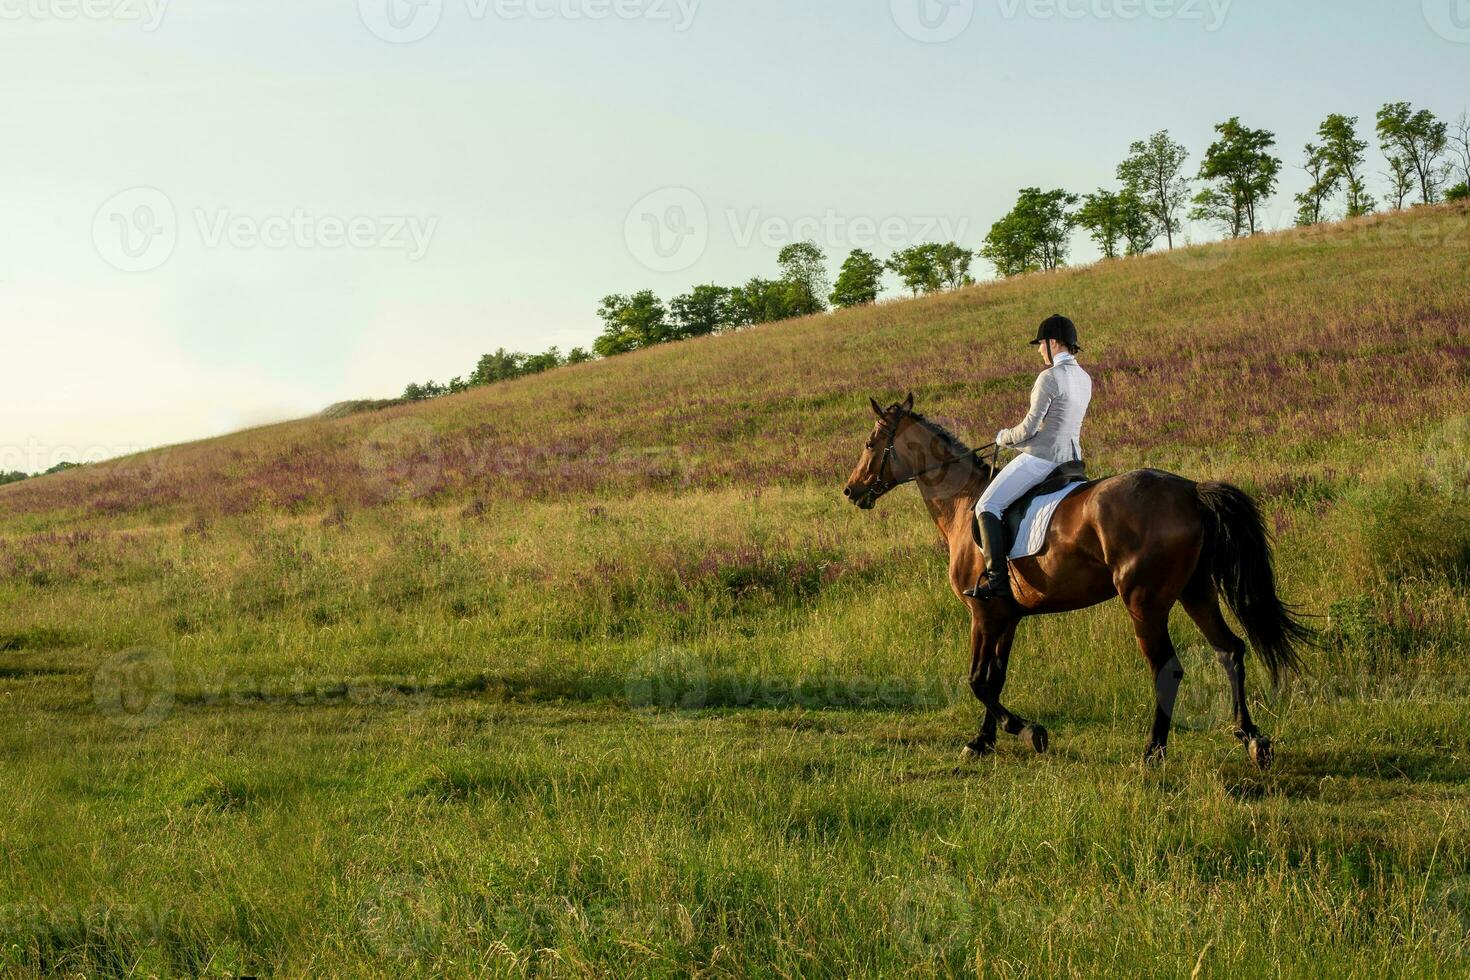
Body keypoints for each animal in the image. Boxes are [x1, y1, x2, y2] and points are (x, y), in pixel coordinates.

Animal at [840, 393, 1311, 769]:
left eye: (870, 444)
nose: (850, 491)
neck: (963, 503)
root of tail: (1191, 490)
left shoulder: (983, 613)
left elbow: (977, 680)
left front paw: (1027, 732)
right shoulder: (1007, 617)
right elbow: (995, 677)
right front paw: (983, 741)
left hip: (1145, 604)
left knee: (1168, 668)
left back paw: (1153, 751)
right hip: (1196, 592)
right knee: (1229, 650)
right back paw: (1253, 739)